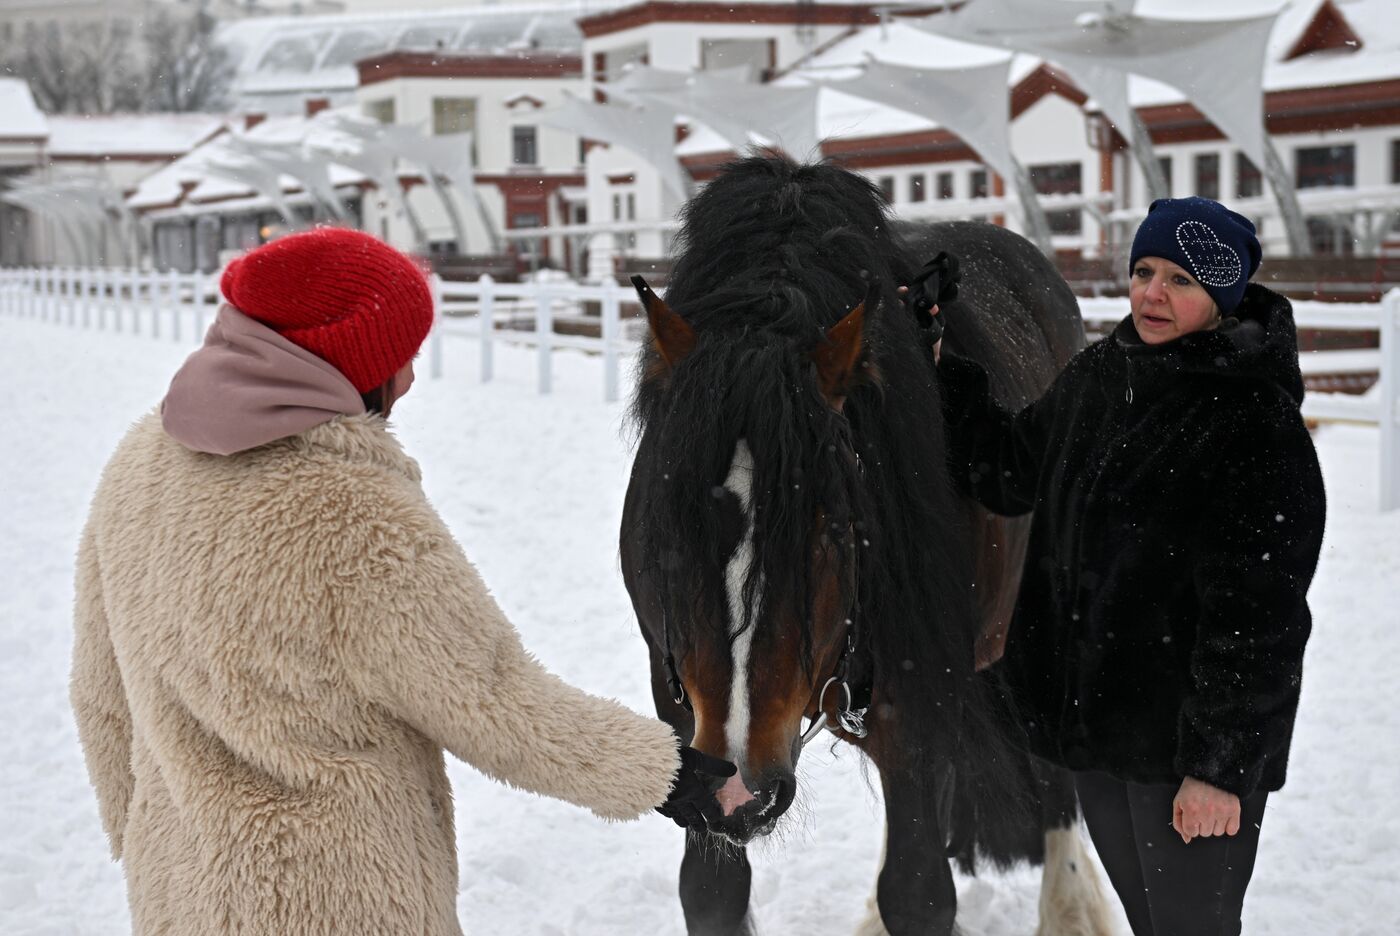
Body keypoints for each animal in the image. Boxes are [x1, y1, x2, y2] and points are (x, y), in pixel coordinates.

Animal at [618, 156, 1108, 929]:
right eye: (668, 531)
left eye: (828, 530)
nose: (738, 790)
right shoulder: (683, 713)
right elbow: (711, 892)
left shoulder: (917, 703)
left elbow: (918, 892)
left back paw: (1070, 907)